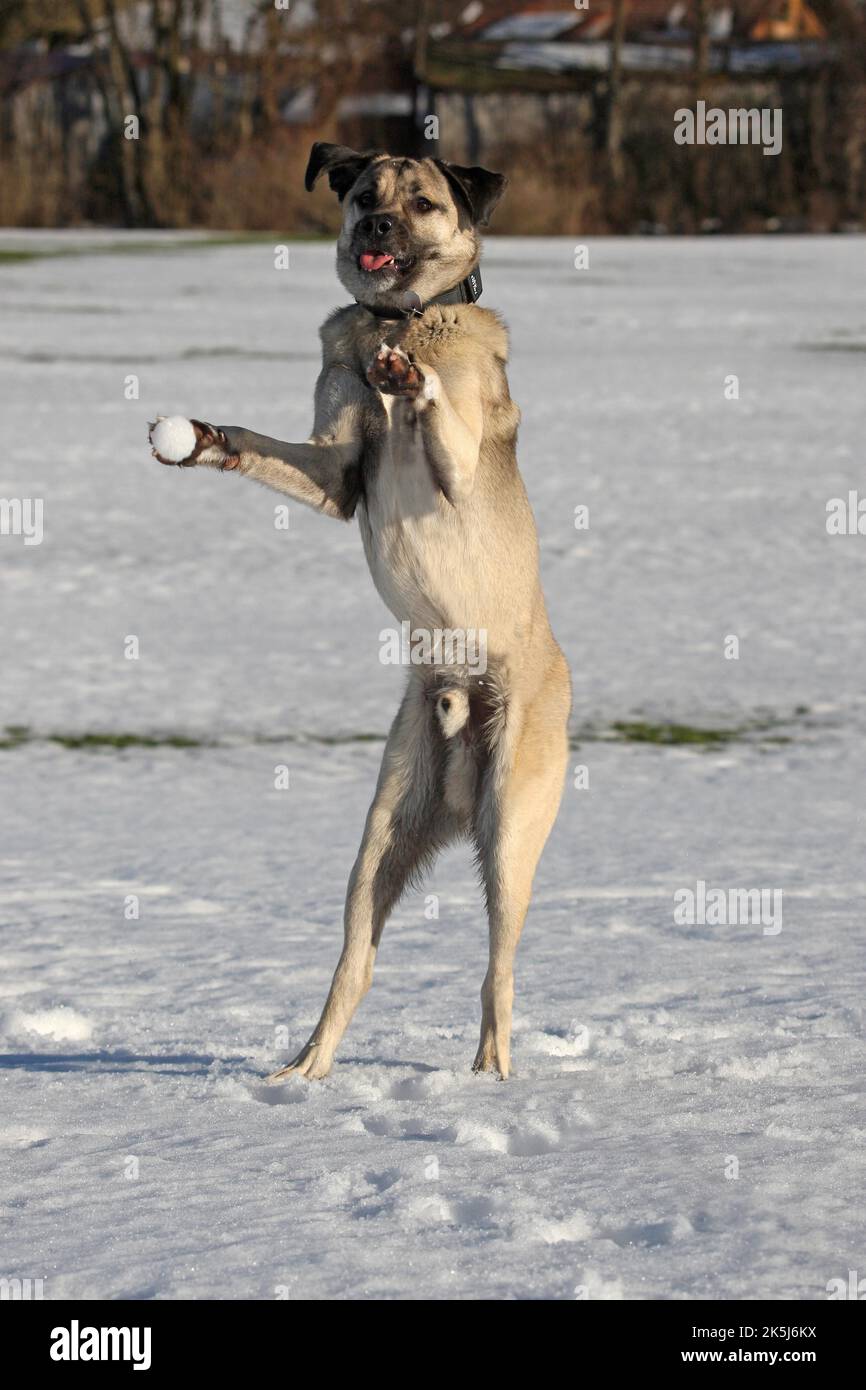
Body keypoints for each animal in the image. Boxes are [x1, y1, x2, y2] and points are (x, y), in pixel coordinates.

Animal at [150, 143, 569, 1073]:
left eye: (421, 203)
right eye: (362, 194)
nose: (376, 225)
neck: (395, 320)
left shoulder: (454, 466)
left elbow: (436, 412)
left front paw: (412, 380)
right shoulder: (335, 471)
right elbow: (271, 449)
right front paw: (201, 441)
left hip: (512, 828)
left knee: (498, 969)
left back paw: (490, 1075)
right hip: (381, 837)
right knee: (356, 964)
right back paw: (304, 1072)